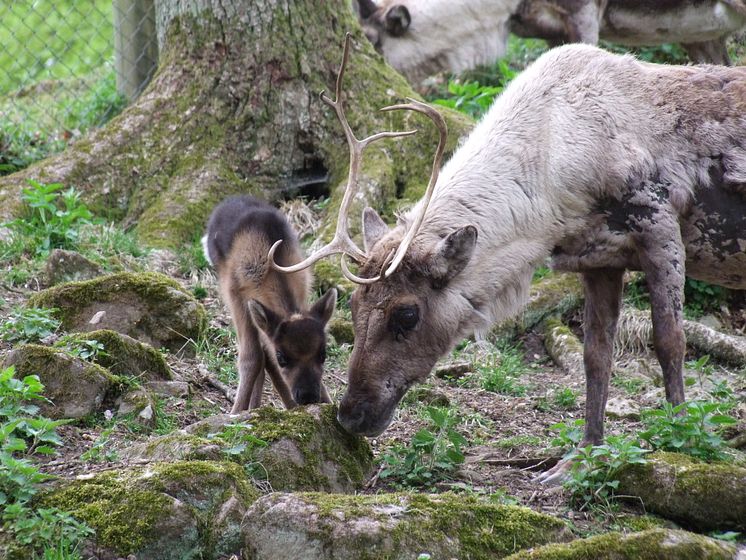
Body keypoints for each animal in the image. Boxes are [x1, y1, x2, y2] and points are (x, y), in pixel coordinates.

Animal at [201, 196, 334, 412]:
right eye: (282, 357)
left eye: (323, 353)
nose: (308, 396)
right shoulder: (236, 295)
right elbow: (252, 357)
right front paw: (236, 412)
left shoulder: (303, 291)